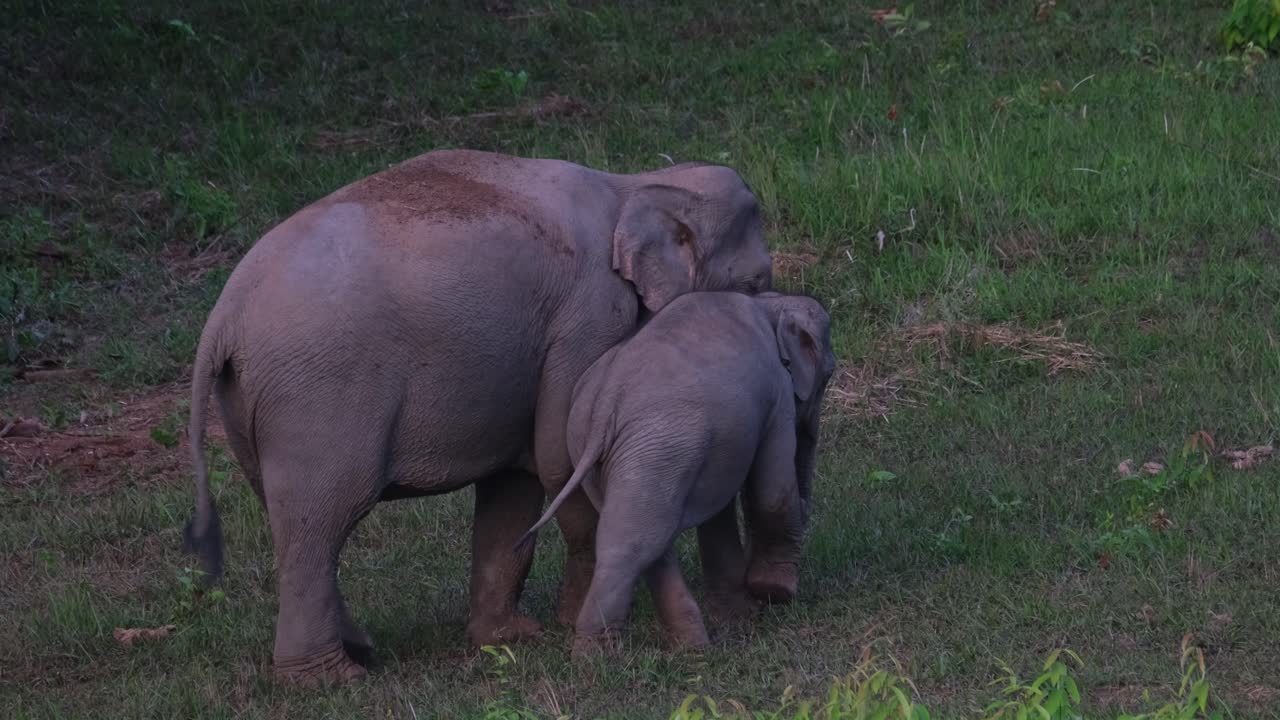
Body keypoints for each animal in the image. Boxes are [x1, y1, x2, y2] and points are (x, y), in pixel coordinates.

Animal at [181, 149, 773, 686]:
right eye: (756, 285)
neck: (634, 184)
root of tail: (223, 316)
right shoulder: (588, 316)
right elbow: (561, 459)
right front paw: (566, 625)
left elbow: (515, 482)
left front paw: (511, 640)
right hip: (318, 397)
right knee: (322, 519)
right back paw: (330, 679)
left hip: (250, 405)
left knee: (294, 523)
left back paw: (359, 651)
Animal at [520, 290, 836, 654]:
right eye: (829, 374)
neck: (769, 303)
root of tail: (605, 404)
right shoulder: (778, 393)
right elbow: (773, 492)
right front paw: (775, 591)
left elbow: (720, 511)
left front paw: (744, 612)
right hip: (655, 452)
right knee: (631, 545)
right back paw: (593, 657)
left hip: (621, 456)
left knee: (649, 538)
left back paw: (693, 647)